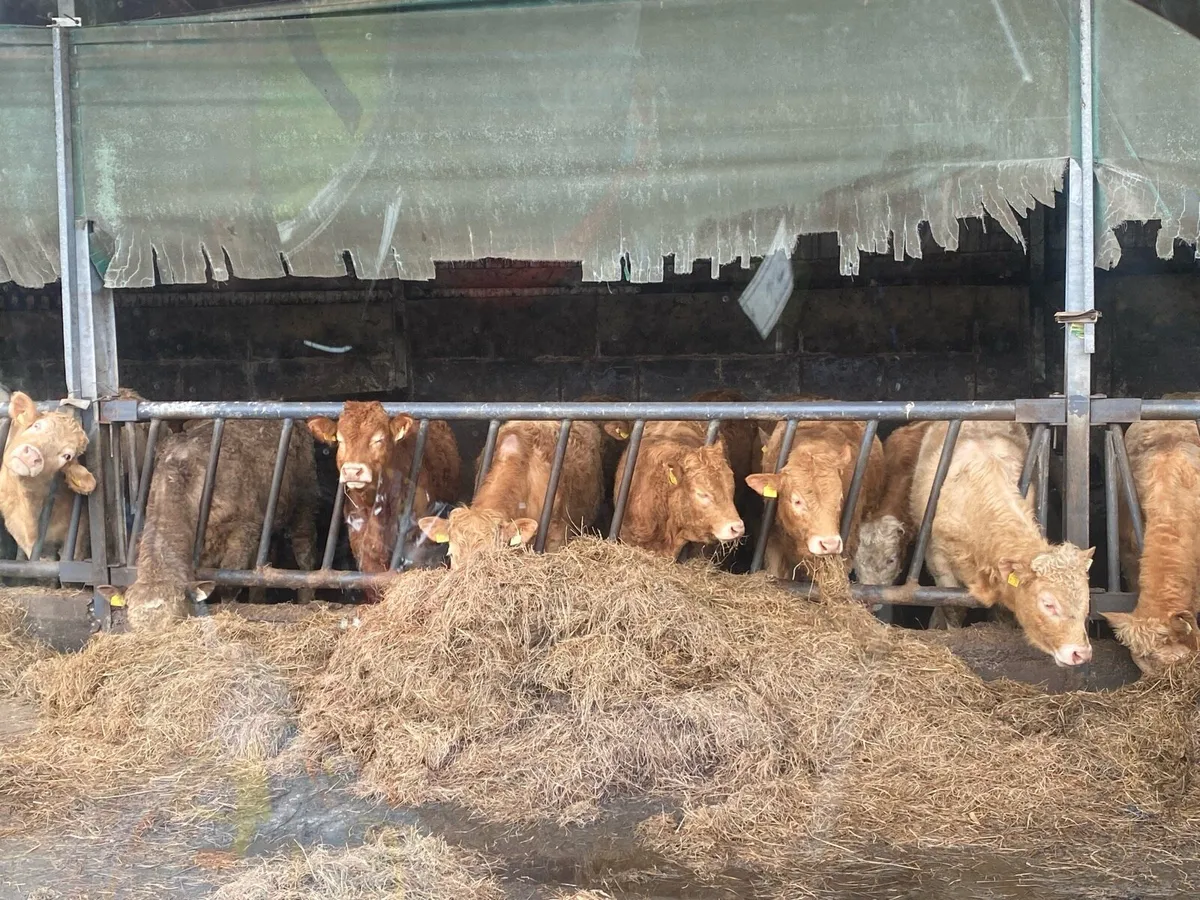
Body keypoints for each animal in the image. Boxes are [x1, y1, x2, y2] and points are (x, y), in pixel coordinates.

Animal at [97, 419, 318, 632]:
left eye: (174, 623)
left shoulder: (244, 528)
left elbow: (230, 583)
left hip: (304, 503)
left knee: (304, 555)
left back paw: (306, 601)